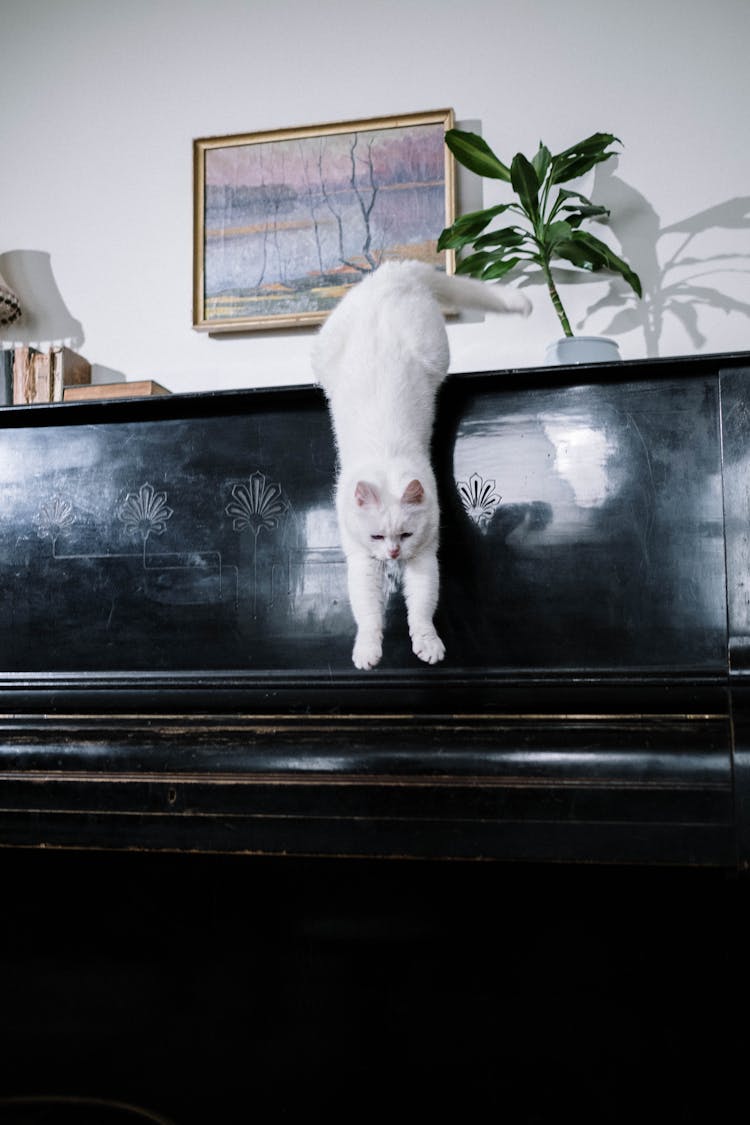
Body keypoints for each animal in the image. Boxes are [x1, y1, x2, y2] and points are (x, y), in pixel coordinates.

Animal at [314, 257, 530, 666]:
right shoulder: (362, 560)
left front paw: (427, 644)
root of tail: (393, 270)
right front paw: (367, 651)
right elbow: (367, 612)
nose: (393, 553)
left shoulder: (425, 555)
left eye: (405, 536)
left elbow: (422, 606)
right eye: (377, 536)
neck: (385, 462)